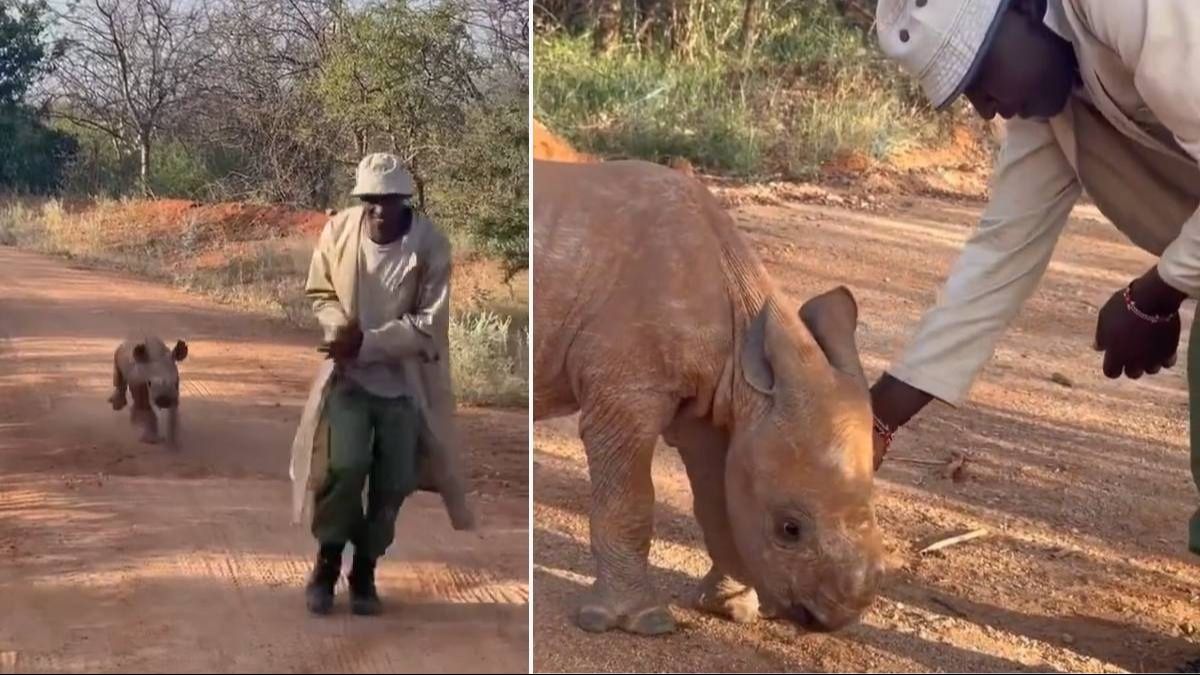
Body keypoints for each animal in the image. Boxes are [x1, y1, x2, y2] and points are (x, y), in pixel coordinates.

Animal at [533, 158, 885, 635]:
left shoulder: (715, 406)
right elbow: (630, 501)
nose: (835, 618)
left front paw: (732, 607)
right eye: (789, 529)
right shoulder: (626, 394)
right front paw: (639, 621)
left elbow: (718, 500)